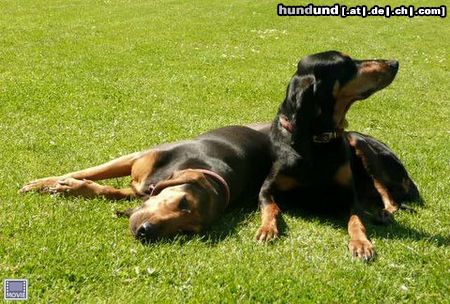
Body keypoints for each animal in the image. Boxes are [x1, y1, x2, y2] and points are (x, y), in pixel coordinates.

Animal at [20, 124, 270, 241]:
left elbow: (108, 190)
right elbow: (88, 171)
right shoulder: (137, 158)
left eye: (186, 231)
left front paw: (71, 187)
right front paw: (43, 183)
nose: (146, 232)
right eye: (183, 202)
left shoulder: (139, 191)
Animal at [258, 51, 420, 260]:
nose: (394, 63)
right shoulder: (266, 189)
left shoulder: (349, 196)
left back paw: (383, 214)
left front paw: (361, 243)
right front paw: (267, 229)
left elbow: (356, 220)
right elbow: (271, 208)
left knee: (390, 199)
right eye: (346, 64)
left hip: (359, 143)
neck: (318, 140)